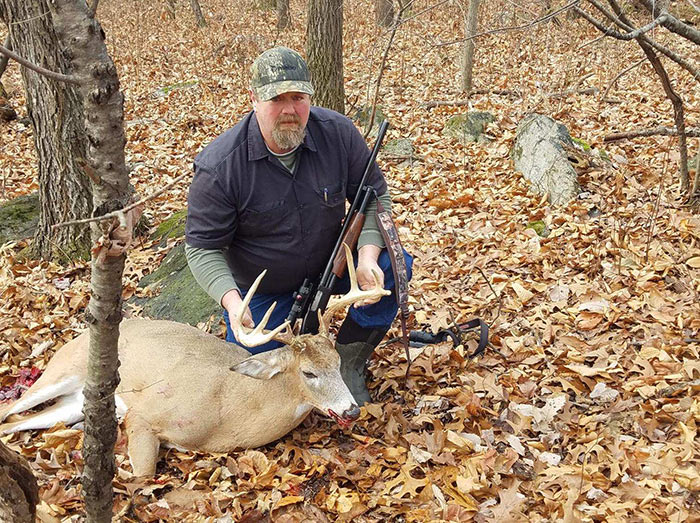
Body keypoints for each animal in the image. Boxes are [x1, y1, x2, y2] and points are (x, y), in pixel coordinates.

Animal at [0, 246, 390, 476]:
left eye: (336, 363)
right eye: (309, 372)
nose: (352, 410)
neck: (229, 410)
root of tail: (80, 337)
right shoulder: (144, 410)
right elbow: (142, 474)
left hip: (73, 402)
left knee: (17, 422)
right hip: (63, 368)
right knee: (10, 409)